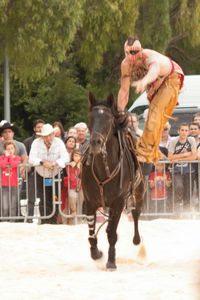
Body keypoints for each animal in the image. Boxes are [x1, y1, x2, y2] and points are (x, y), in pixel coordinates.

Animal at [81, 92, 144, 270]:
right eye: (91, 117)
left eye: (108, 119)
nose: (95, 142)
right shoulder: (89, 202)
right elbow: (91, 233)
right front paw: (96, 254)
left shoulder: (118, 203)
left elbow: (112, 234)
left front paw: (111, 261)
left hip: (139, 191)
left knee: (136, 213)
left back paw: (136, 240)